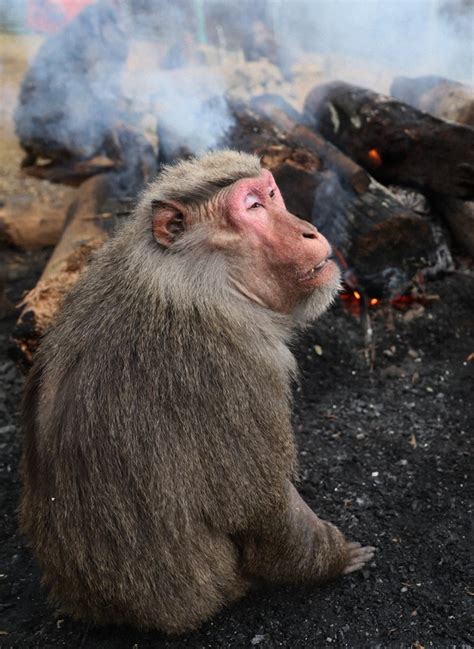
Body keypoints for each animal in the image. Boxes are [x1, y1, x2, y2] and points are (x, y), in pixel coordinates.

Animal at [20, 148, 376, 632]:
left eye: (271, 195)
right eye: (252, 208)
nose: (309, 229)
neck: (199, 279)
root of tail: (97, 606)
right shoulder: (236, 367)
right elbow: (258, 506)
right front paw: (335, 558)